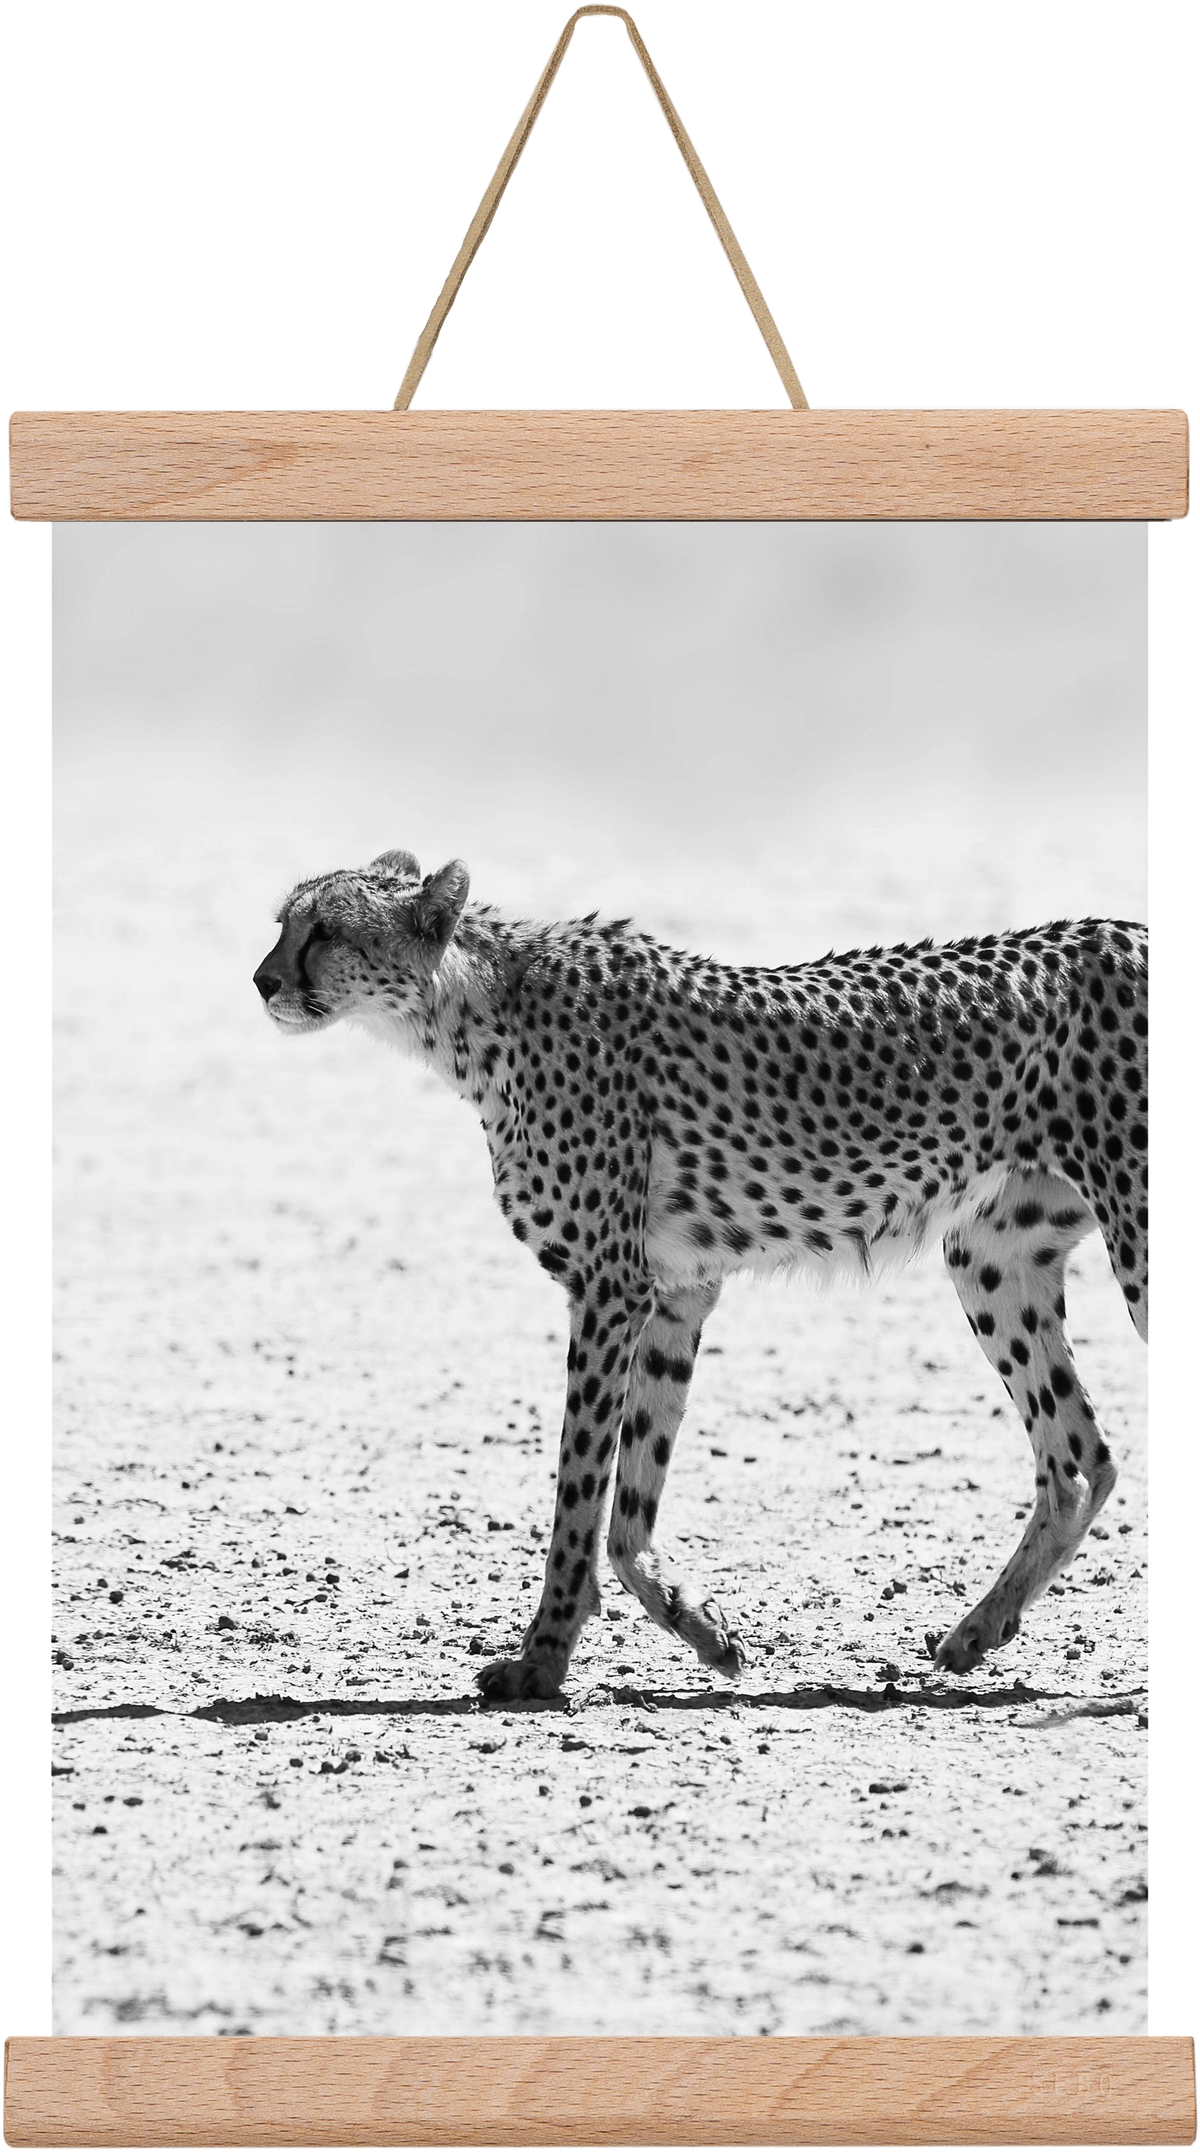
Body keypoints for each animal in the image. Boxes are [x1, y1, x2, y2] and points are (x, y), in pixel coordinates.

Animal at [254, 849, 1148, 1702]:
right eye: (283, 923)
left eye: (326, 930)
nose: (263, 980)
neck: (471, 1009)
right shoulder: (676, 1291)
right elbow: (629, 1507)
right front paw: (704, 1630)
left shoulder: (609, 1288)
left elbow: (579, 1492)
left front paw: (541, 1661)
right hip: (992, 1256)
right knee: (1079, 1458)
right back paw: (977, 1631)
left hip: (1130, 1239)